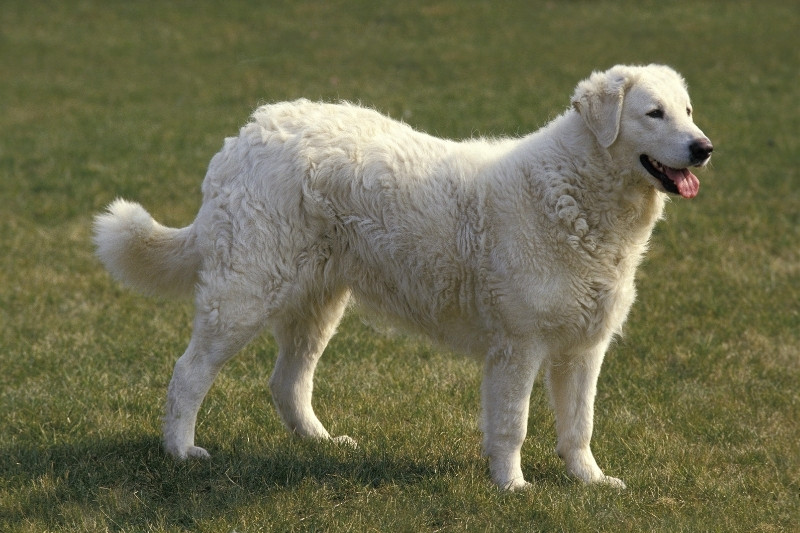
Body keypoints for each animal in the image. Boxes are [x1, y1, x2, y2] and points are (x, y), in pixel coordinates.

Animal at [94, 64, 712, 488]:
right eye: (654, 113)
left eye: (687, 110)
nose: (704, 147)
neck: (578, 193)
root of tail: (243, 136)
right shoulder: (519, 345)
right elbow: (511, 425)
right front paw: (513, 488)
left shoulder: (584, 347)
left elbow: (579, 426)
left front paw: (590, 482)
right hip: (245, 293)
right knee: (189, 373)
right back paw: (181, 452)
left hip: (318, 302)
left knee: (287, 381)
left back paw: (323, 443)